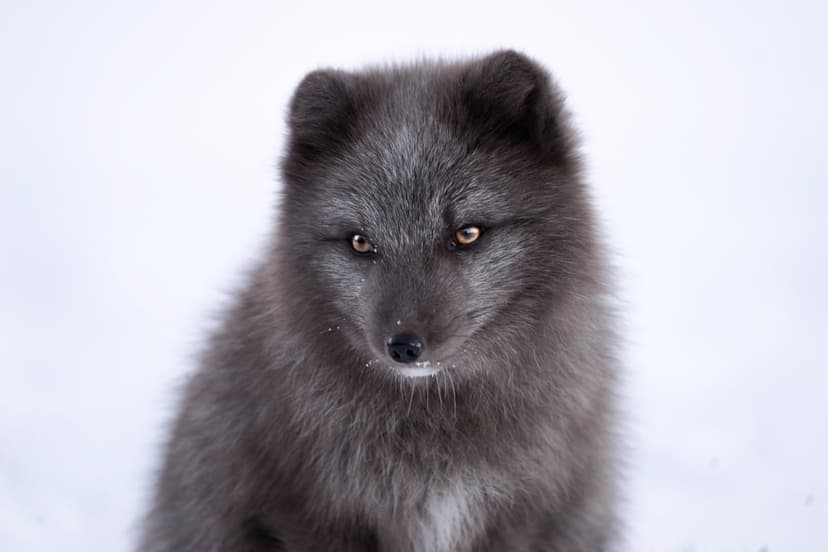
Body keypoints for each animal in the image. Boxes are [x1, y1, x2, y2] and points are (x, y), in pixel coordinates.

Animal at [138, 50, 621, 552]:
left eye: (466, 233)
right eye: (360, 242)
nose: (403, 346)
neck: (433, 427)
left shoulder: (524, 513)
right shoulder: (311, 513)